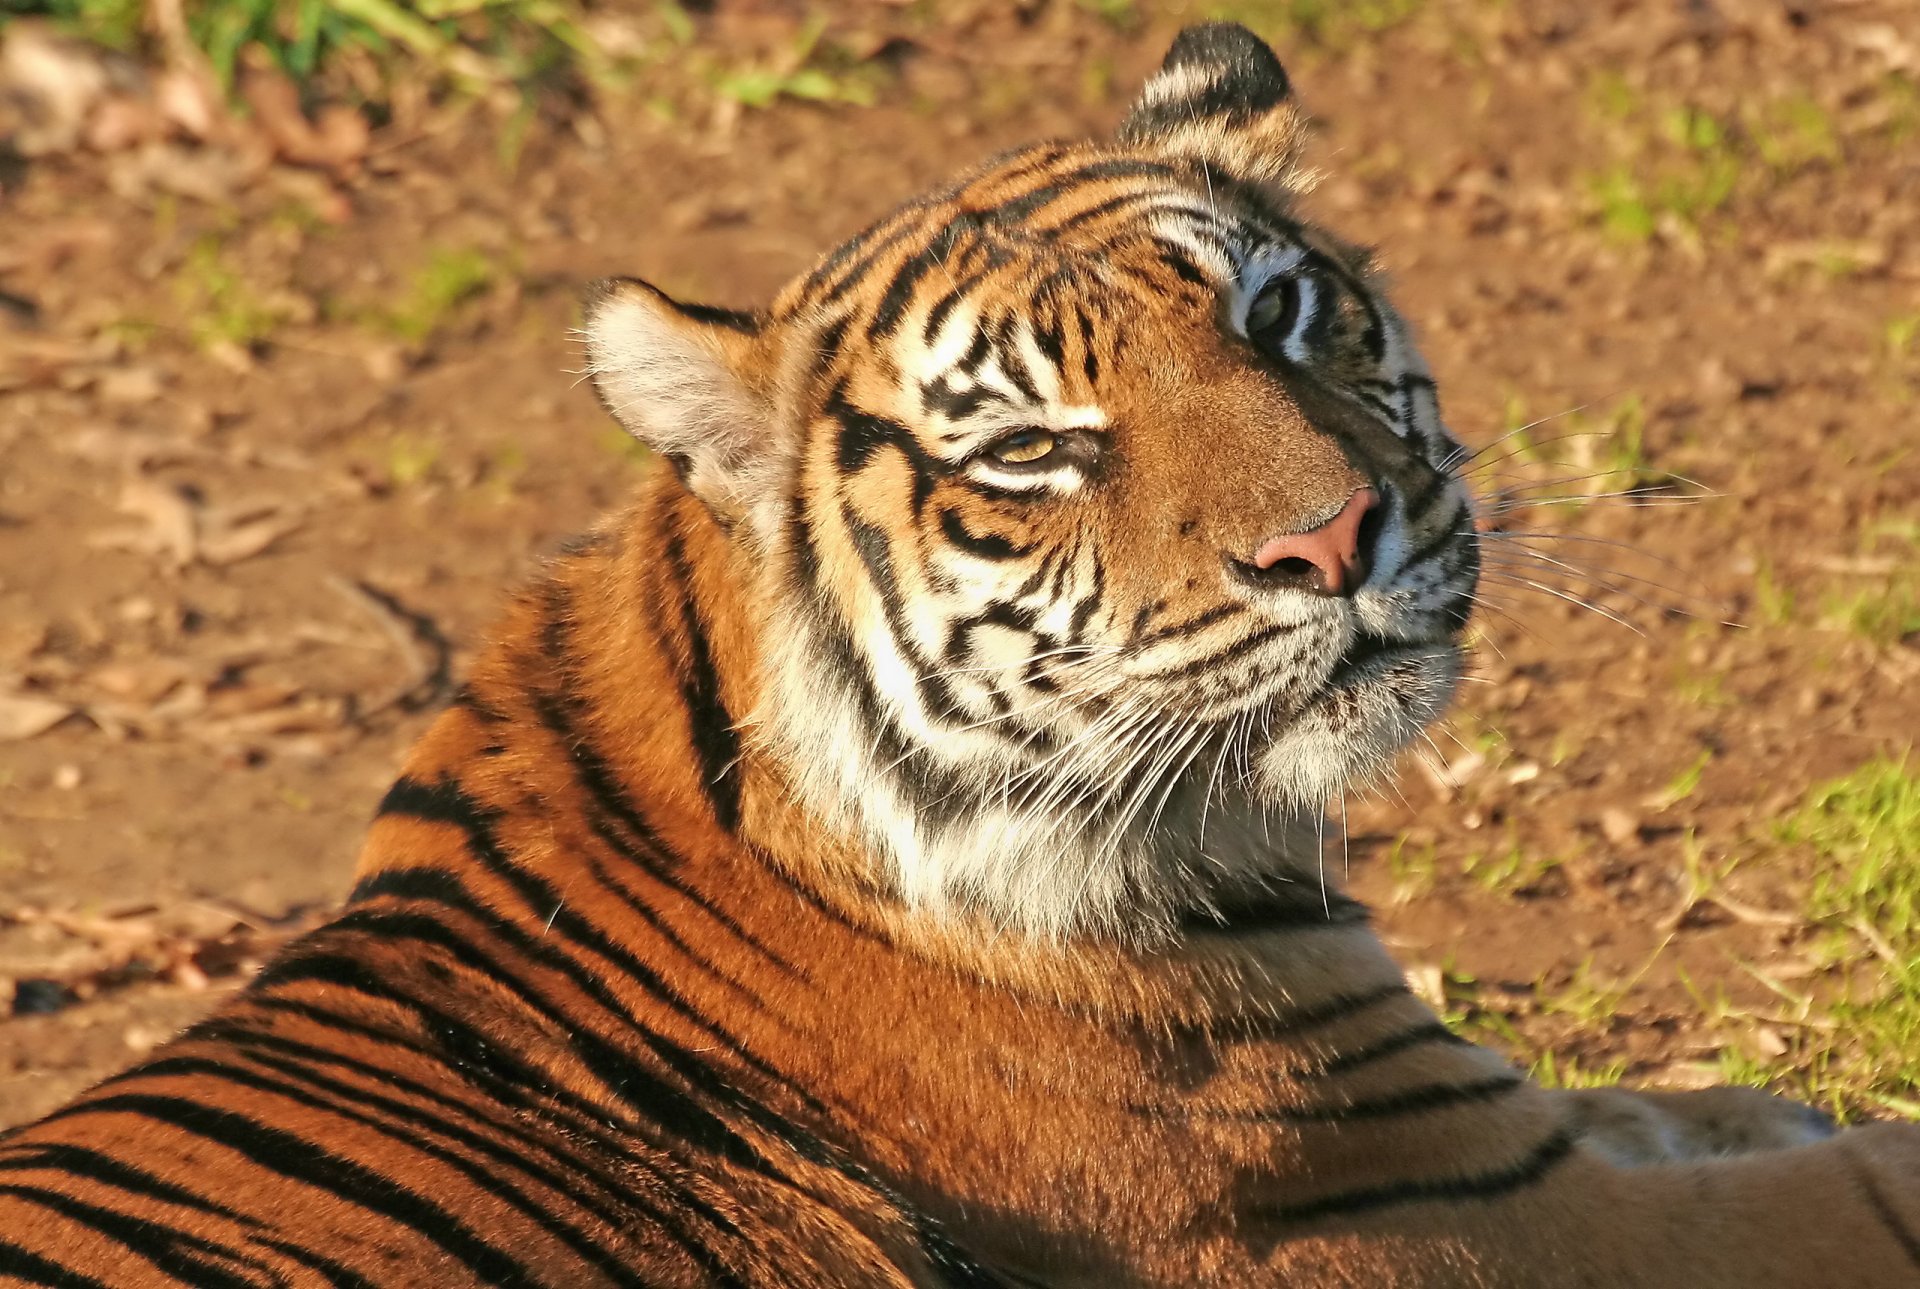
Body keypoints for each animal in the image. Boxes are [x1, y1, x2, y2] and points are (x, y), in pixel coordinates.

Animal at [4, 20, 1919, 1288]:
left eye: (1276, 309)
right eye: (1032, 451)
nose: (1332, 539)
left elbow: (1719, 1105)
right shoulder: (1458, 1204)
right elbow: (1861, 1175)